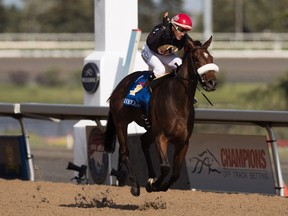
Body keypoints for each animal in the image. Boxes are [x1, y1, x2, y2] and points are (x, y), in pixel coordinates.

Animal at [104, 36, 219, 197]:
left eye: (211, 58)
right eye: (196, 59)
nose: (211, 83)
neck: (178, 101)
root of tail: (118, 87)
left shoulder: (183, 141)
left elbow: (176, 173)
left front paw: (157, 184)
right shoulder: (161, 136)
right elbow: (165, 167)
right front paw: (154, 185)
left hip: (150, 128)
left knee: (144, 141)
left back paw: (151, 176)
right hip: (121, 122)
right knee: (124, 152)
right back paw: (135, 186)